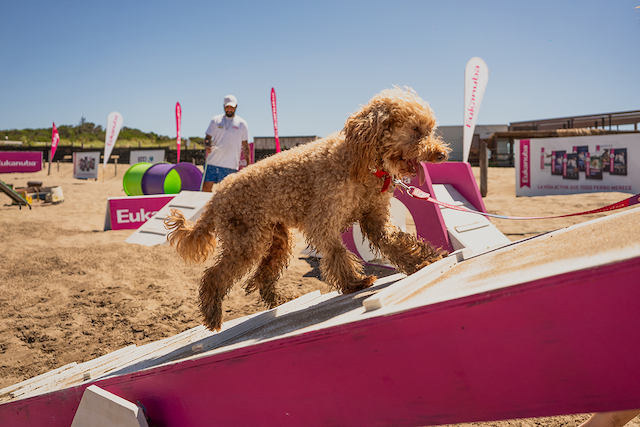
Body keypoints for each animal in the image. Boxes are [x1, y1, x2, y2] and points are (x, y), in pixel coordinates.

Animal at [168, 85, 452, 330]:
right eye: (415, 129)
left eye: (429, 129)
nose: (441, 154)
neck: (361, 160)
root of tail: (216, 197)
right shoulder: (323, 219)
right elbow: (337, 252)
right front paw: (355, 282)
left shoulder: (375, 217)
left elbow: (395, 240)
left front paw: (422, 260)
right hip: (246, 241)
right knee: (214, 276)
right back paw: (212, 315)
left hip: (276, 239)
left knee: (263, 275)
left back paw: (279, 302)